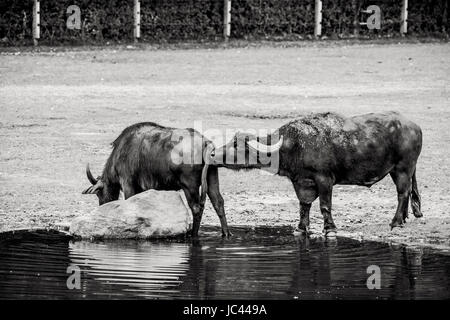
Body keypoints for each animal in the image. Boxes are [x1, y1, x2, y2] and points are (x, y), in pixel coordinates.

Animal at [81, 122, 234, 238]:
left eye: (99, 193)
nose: (102, 207)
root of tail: (205, 143)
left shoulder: (128, 182)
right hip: (212, 178)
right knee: (218, 202)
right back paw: (226, 233)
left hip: (189, 185)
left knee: (196, 208)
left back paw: (193, 234)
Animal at [210, 112, 422, 235]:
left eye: (237, 145)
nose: (212, 153)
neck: (295, 145)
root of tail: (415, 126)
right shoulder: (301, 182)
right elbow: (304, 206)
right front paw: (301, 228)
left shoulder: (324, 179)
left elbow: (324, 205)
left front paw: (329, 229)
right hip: (399, 170)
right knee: (407, 193)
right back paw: (403, 219)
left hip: (403, 168)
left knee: (403, 193)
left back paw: (395, 222)